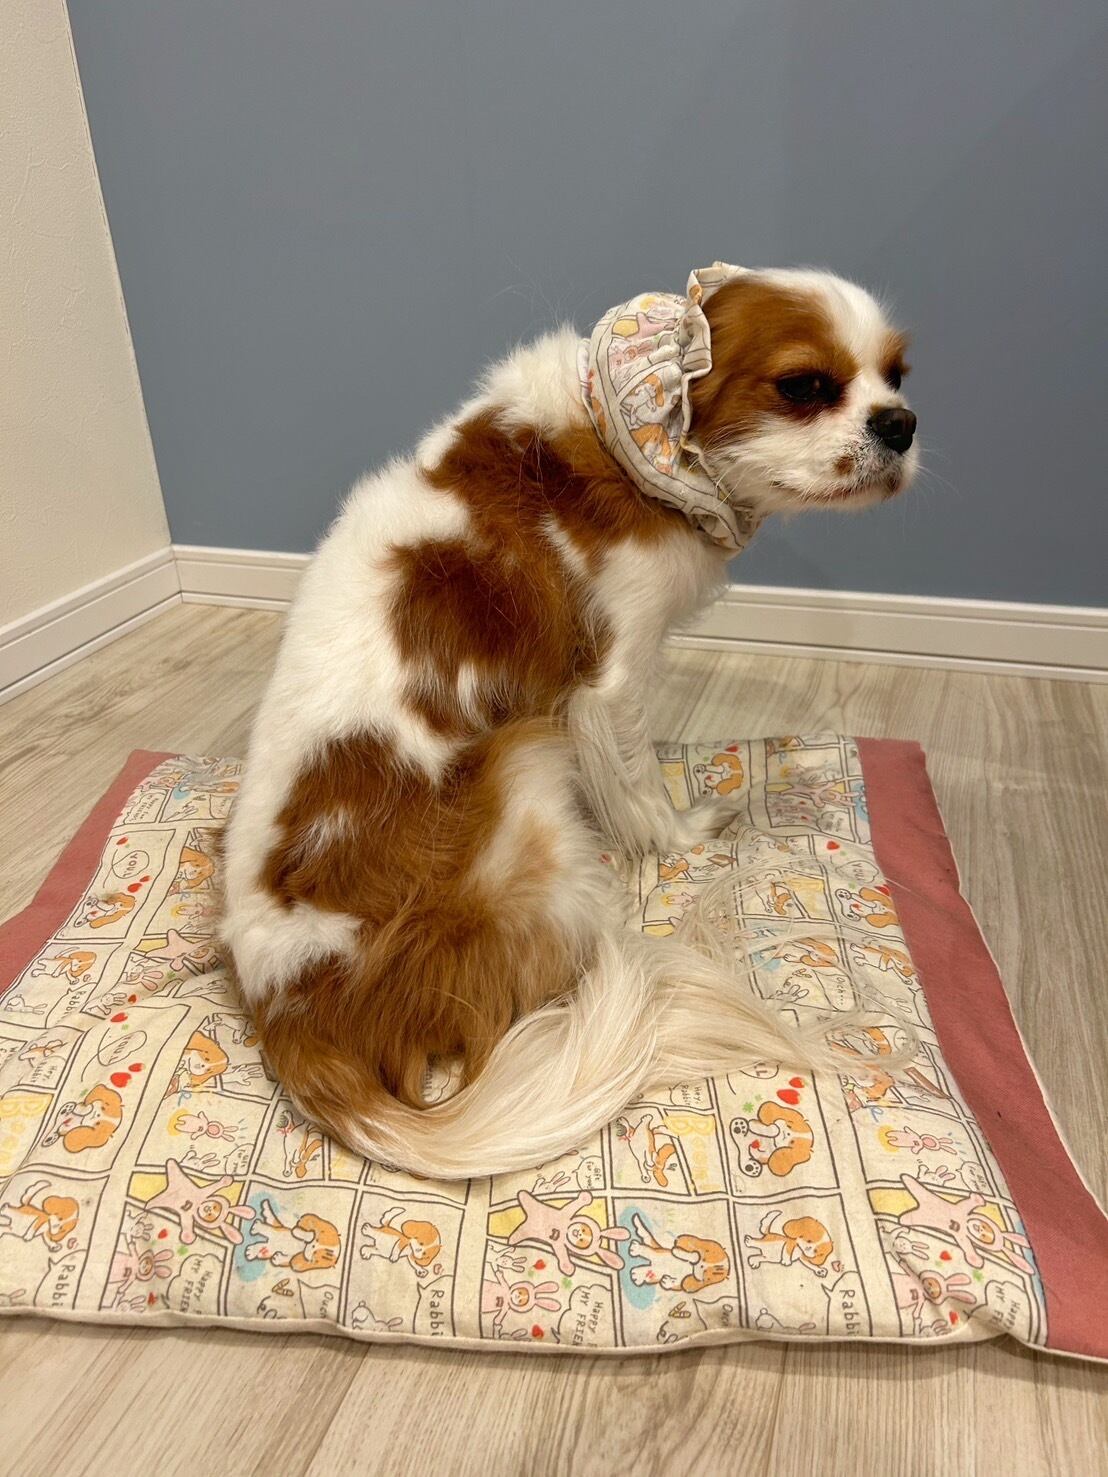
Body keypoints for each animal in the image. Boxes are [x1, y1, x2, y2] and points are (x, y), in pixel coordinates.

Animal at [220, 262, 917, 1178]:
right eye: (804, 387)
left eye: (899, 377)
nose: (901, 424)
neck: (621, 435)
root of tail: (290, 1005)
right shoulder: (610, 682)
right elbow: (641, 784)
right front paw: (682, 835)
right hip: (528, 792)